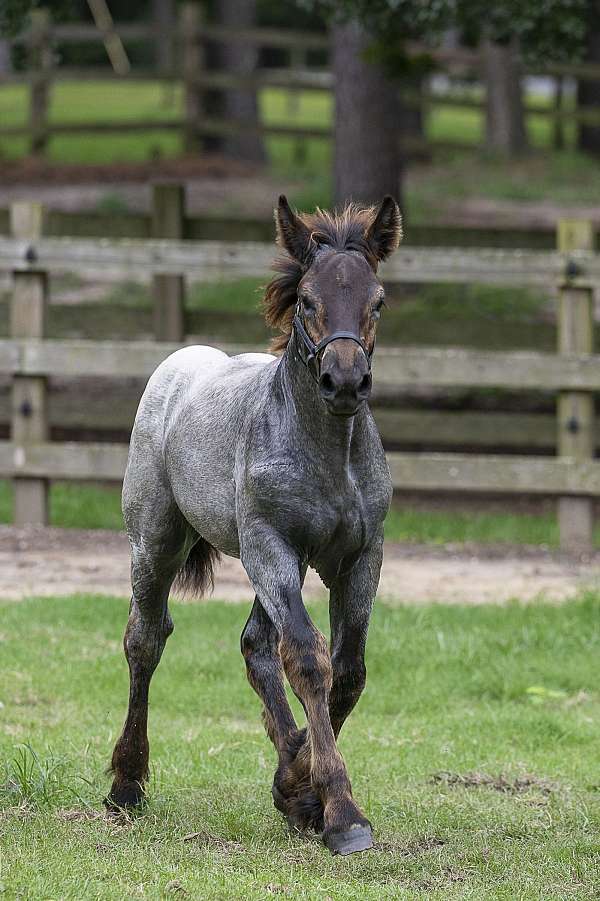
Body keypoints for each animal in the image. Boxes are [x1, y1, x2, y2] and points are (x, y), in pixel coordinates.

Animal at [106, 194, 402, 856]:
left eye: (377, 301)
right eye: (307, 300)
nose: (345, 382)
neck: (327, 455)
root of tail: (181, 363)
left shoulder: (360, 557)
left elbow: (347, 670)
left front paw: (299, 788)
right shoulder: (272, 546)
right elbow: (310, 661)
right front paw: (341, 813)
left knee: (255, 645)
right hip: (157, 543)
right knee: (146, 638)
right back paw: (126, 784)